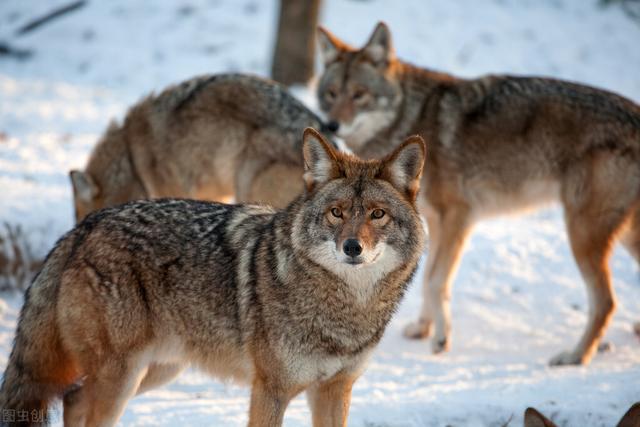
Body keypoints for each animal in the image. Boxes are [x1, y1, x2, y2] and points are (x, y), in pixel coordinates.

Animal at [1, 129, 430, 426]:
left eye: (377, 214)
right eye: (336, 213)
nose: (352, 248)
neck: (346, 310)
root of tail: (82, 228)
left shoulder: (334, 390)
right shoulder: (270, 391)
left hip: (153, 372)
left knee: (72, 399)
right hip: (121, 379)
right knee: (77, 402)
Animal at [316, 21, 640, 366]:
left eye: (359, 95)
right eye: (331, 94)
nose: (331, 125)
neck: (411, 116)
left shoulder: (458, 216)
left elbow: (436, 280)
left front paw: (441, 339)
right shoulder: (434, 221)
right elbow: (428, 277)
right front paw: (423, 328)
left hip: (583, 234)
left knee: (606, 301)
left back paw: (576, 356)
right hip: (622, 235)